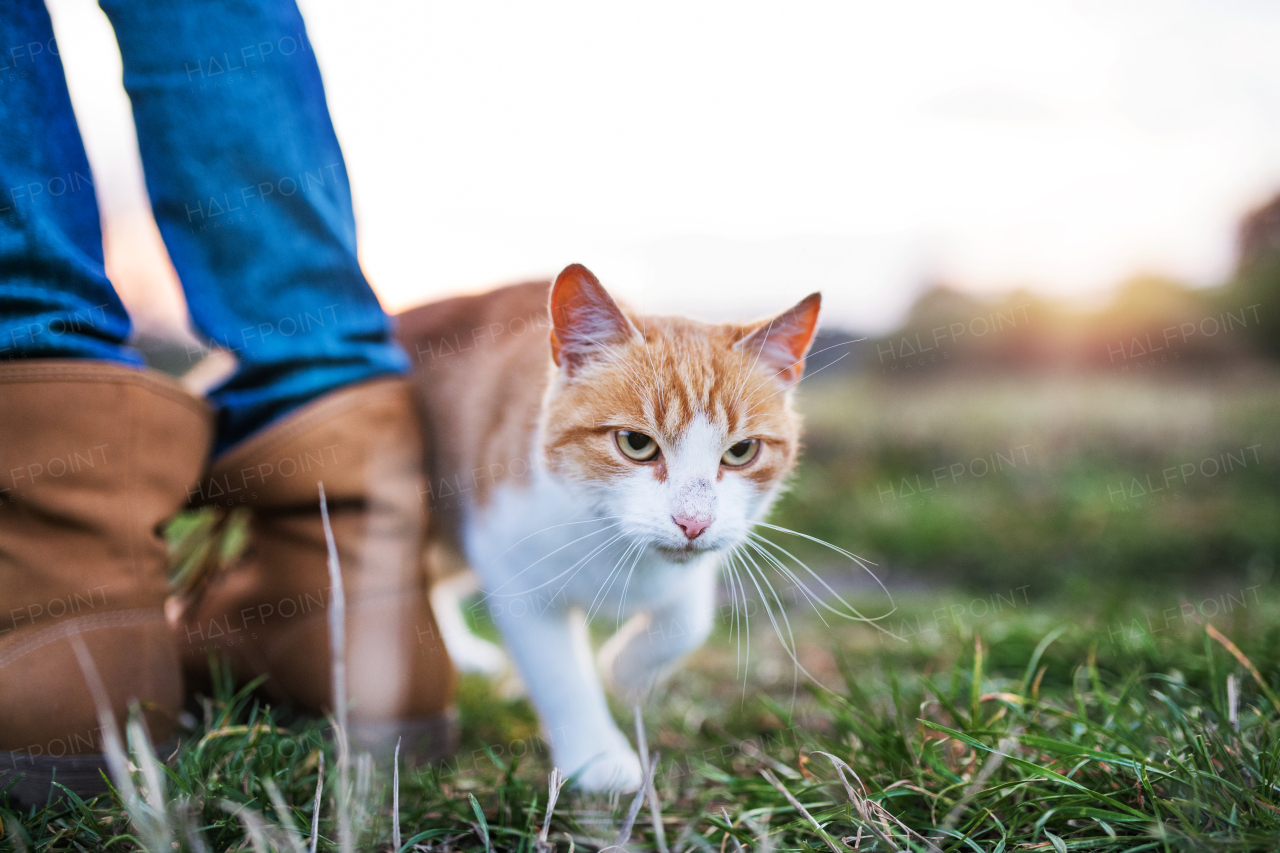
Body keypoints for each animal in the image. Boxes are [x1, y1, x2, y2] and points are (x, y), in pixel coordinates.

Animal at [396, 266, 819, 788]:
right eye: (636, 443)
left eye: (741, 451)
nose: (693, 521)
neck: (615, 540)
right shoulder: (513, 571)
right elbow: (561, 675)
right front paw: (598, 759)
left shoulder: (699, 565)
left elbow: (686, 622)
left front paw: (625, 672)